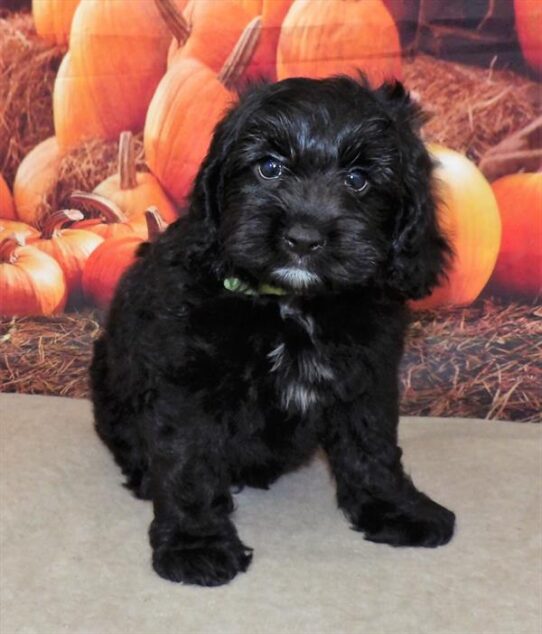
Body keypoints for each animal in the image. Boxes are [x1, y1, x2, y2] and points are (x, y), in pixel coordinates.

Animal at [91, 76, 456, 584]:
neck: (290, 304)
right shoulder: (186, 381)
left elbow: (373, 446)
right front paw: (195, 544)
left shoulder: (367, 377)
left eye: (358, 179)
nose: (303, 238)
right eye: (269, 168)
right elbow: (188, 461)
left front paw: (395, 508)